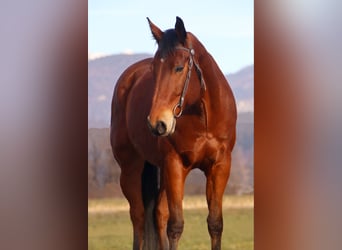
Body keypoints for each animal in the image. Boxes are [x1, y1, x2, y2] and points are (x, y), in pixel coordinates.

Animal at [111, 16, 236, 249]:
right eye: (154, 69)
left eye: (179, 68)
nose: (156, 123)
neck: (203, 118)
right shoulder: (175, 164)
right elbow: (176, 226)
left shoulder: (219, 166)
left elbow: (215, 223)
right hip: (131, 170)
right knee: (138, 217)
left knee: (158, 214)